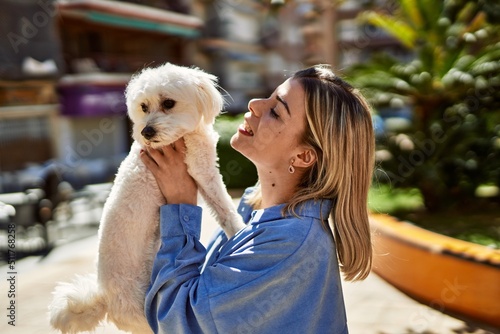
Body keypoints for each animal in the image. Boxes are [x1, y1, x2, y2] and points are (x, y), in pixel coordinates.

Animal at [49, 62, 245, 332]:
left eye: (169, 103)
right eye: (143, 107)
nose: (146, 131)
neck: (179, 138)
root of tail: (105, 297)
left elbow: (220, 209)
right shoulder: (203, 172)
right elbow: (225, 208)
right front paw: (241, 230)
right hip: (146, 310)